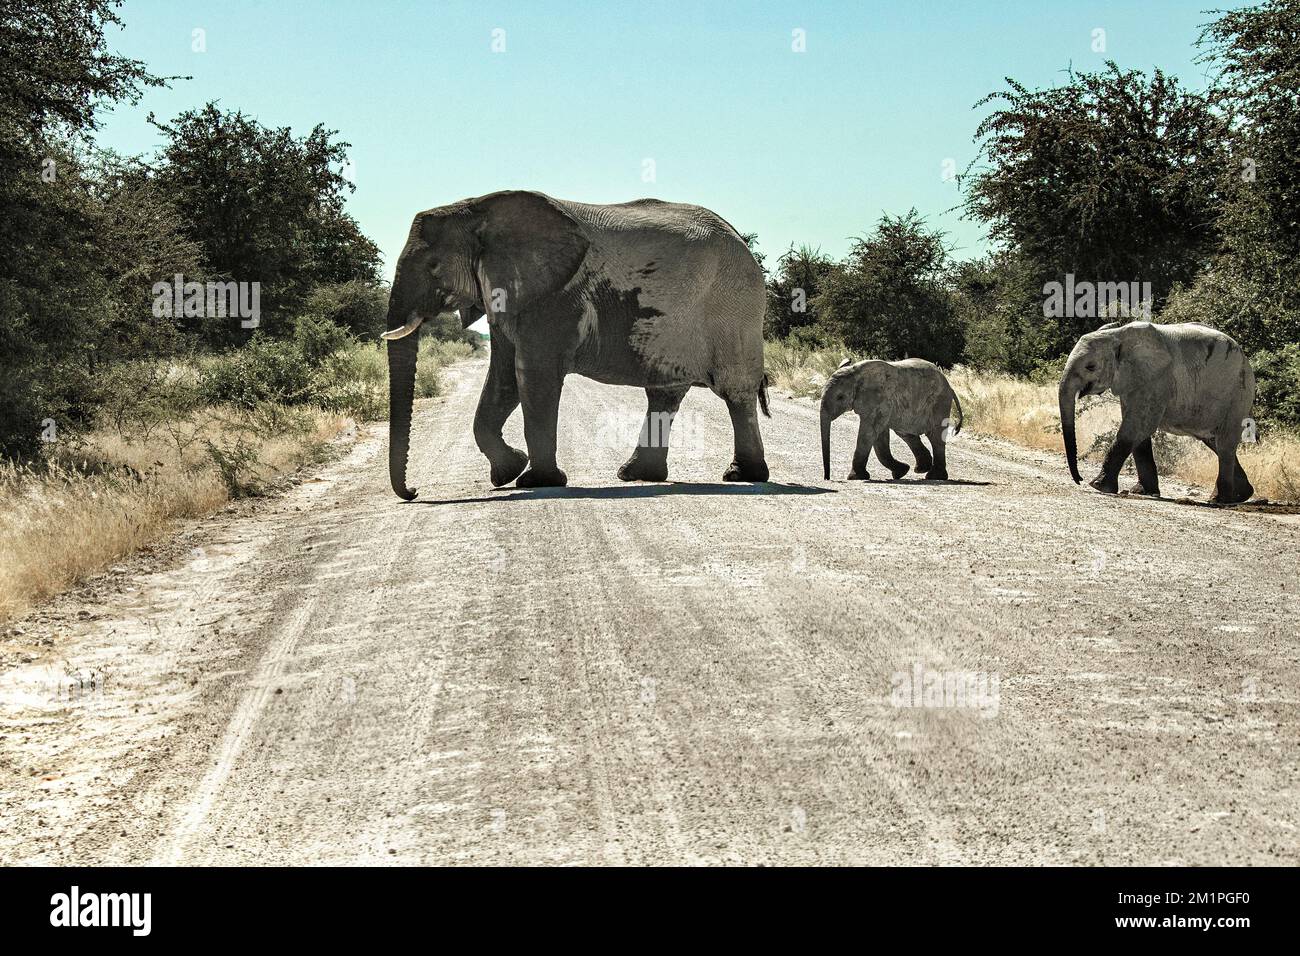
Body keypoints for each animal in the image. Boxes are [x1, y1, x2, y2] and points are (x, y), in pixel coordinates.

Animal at [380, 190, 771, 499]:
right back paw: (636, 475)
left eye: (433, 267)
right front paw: (508, 472)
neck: (477, 210)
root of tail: (740, 238)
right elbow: (503, 379)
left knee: (736, 392)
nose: (414, 492)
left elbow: (534, 377)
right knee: (664, 393)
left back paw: (741, 475)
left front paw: (536, 480)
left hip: (734, 308)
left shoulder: (554, 298)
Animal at [819, 358, 962, 481]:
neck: (855, 373)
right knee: (906, 434)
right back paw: (920, 470)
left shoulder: (880, 401)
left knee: (935, 436)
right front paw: (901, 472)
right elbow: (879, 436)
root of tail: (949, 386)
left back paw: (934, 476)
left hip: (940, 402)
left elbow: (869, 433)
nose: (827, 478)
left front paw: (855, 478)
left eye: (840, 397)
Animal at [1058, 321, 1256, 503]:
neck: (1118, 335)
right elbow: (1139, 434)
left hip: (1238, 393)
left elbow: (1138, 427)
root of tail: (1246, 360)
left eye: (1090, 367)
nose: (1079, 479)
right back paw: (1240, 495)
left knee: (1224, 443)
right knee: (1214, 441)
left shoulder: (1157, 380)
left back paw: (1219, 500)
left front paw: (1098, 486)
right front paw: (1142, 492)